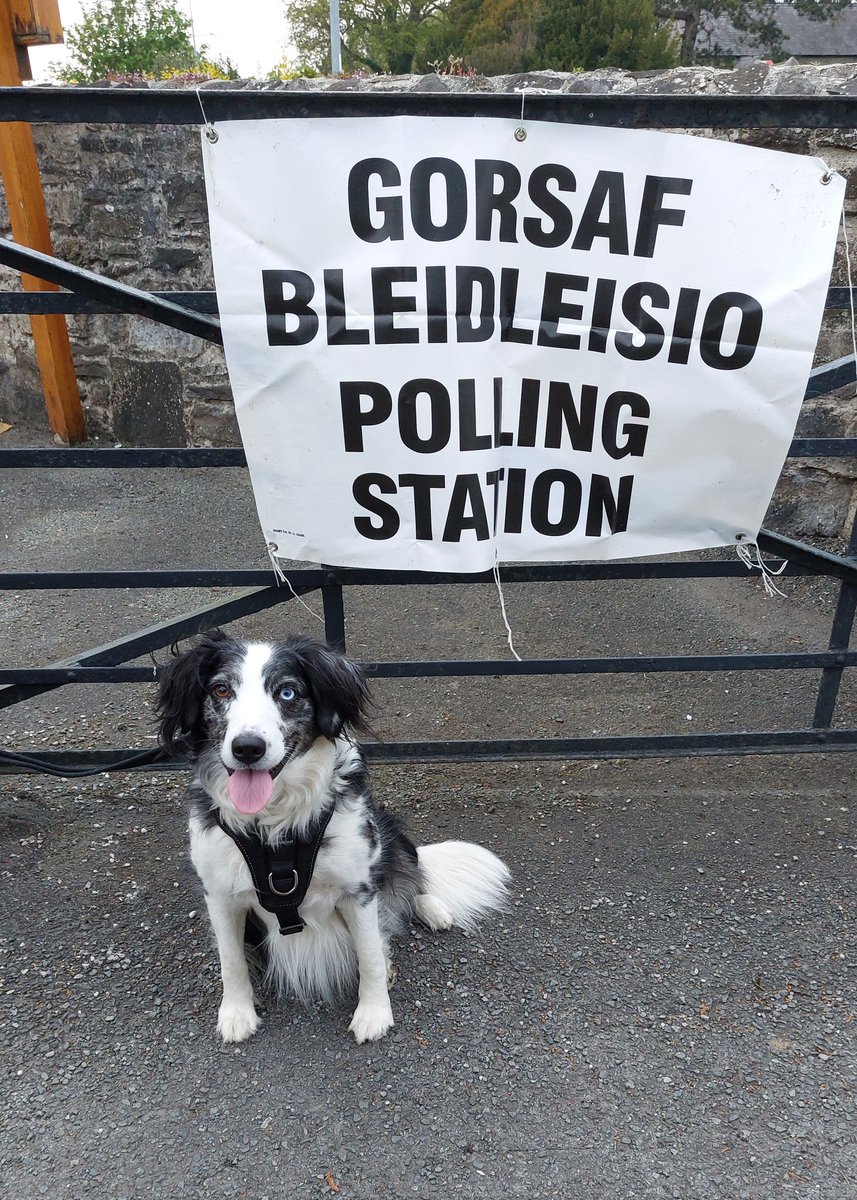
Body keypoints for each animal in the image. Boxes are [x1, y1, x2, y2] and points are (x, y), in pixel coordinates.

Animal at [154, 628, 506, 1041]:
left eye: (287, 692)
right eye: (221, 690)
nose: (247, 748)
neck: (275, 824)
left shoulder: (358, 888)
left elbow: (369, 953)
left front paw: (373, 1012)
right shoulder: (220, 893)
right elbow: (231, 959)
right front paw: (237, 1013)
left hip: (386, 829)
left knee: (411, 873)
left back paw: (432, 909)